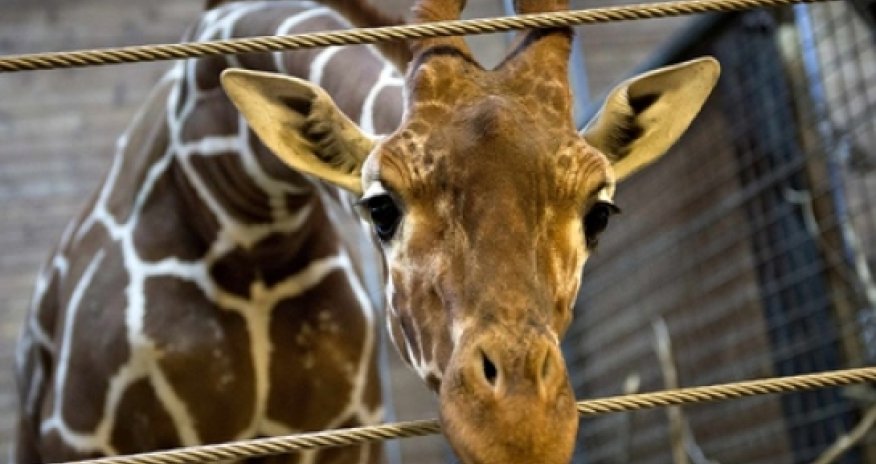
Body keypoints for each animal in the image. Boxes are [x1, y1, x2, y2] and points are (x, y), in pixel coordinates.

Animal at [14, 1, 720, 464]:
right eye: (381, 207)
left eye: (599, 211)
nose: (520, 427)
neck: (244, 222)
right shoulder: (92, 442)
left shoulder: (341, 440)